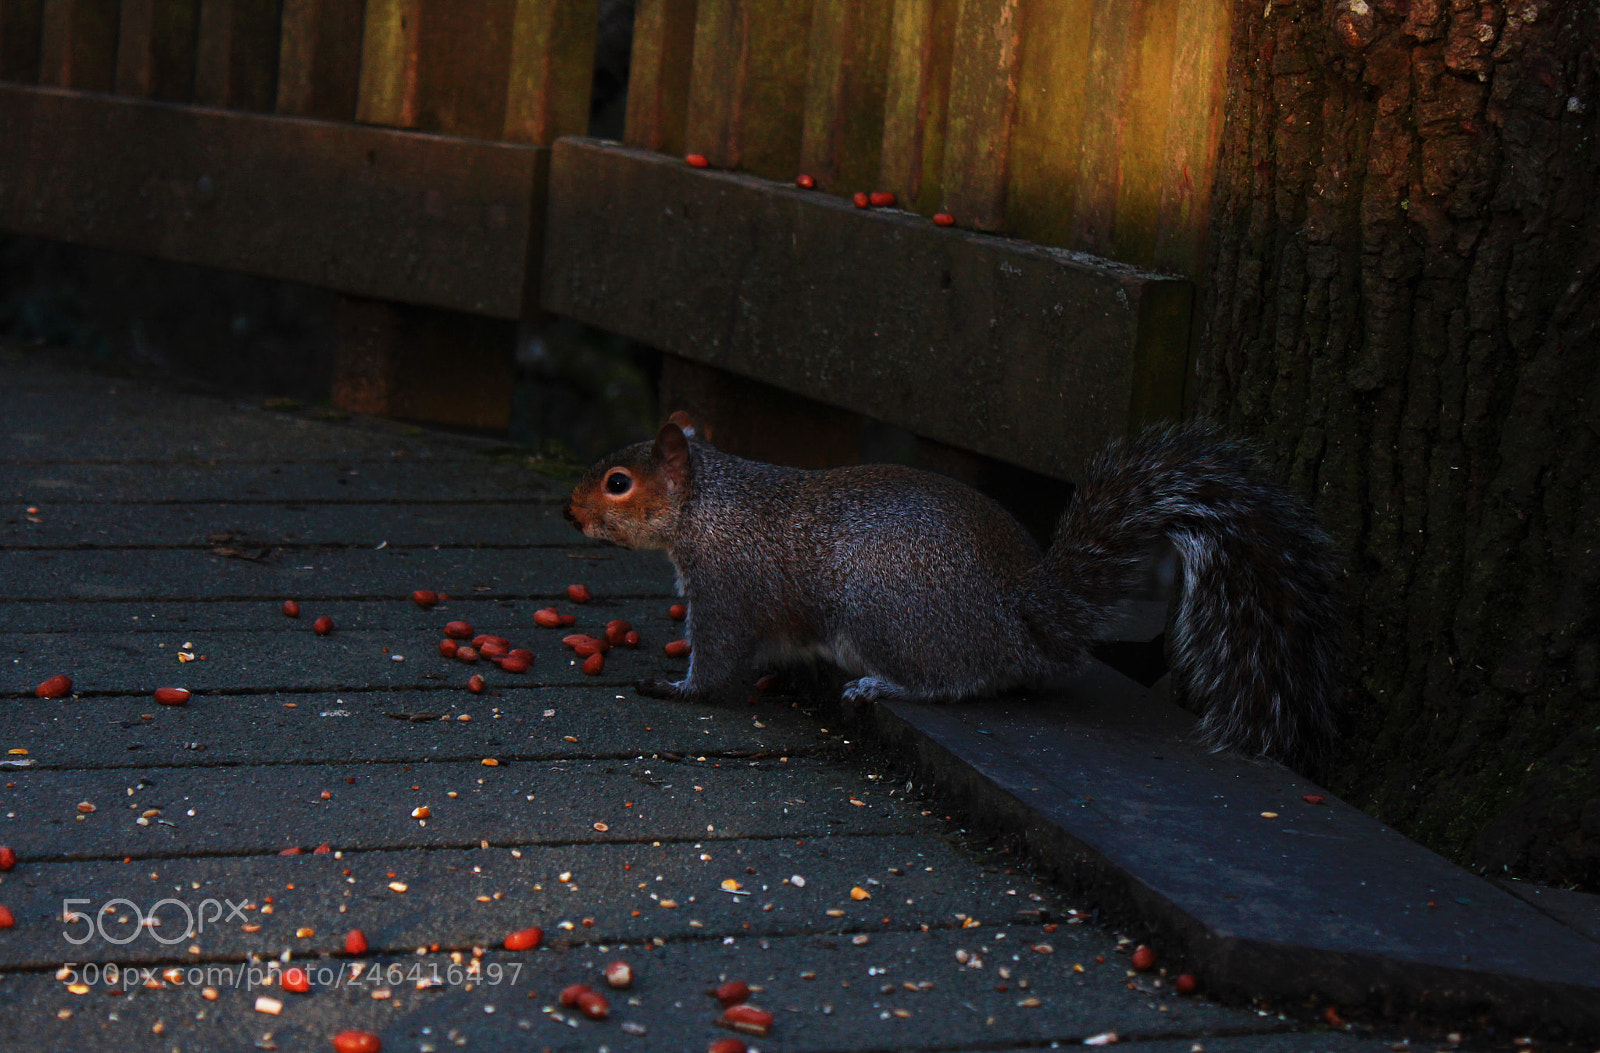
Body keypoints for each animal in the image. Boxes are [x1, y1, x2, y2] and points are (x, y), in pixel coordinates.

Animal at [565, 417, 1339, 760]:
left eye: (618, 483)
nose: (570, 514)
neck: (708, 507)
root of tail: (1020, 614)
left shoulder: (728, 588)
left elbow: (718, 656)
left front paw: (676, 687)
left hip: (884, 610)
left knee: (959, 680)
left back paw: (881, 686)